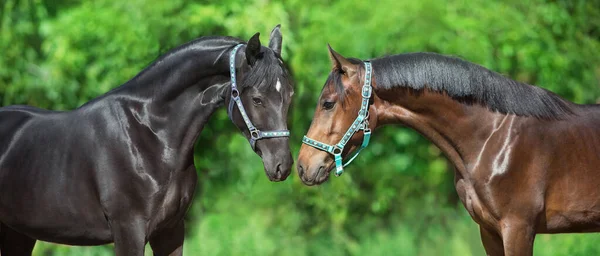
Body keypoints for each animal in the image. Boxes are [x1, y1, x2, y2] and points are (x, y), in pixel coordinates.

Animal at [0, 25, 292, 255]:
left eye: (289, 95)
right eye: (257, 98)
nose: (283, 165)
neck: (150, 136)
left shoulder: (171, 231)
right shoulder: (129, 231)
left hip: (18, 234)